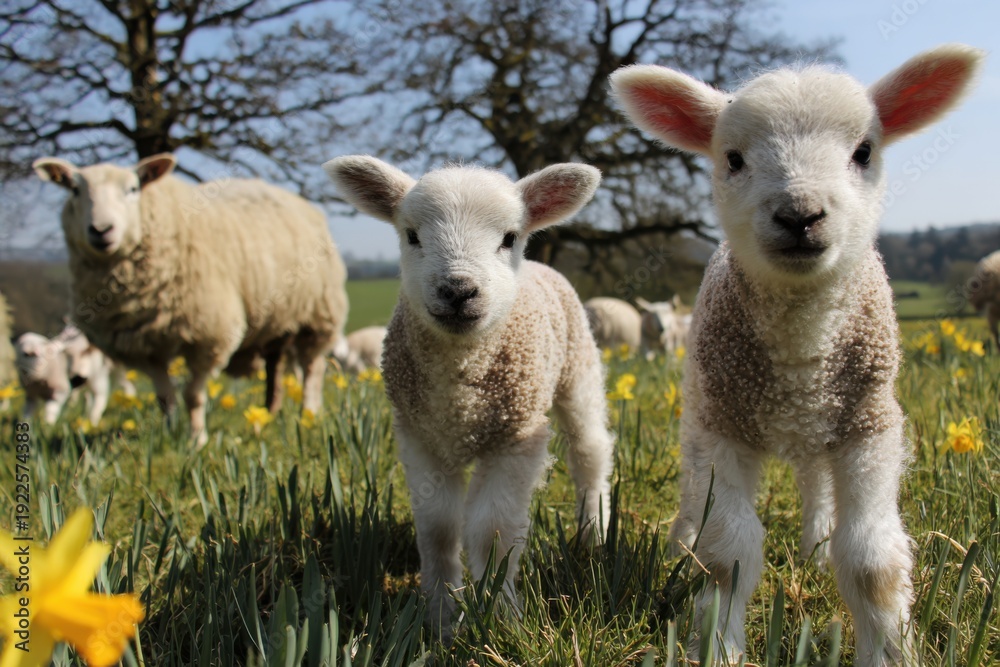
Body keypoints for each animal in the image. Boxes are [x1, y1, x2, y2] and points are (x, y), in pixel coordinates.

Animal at [32, 154, 349, 446]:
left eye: (132, 189)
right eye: (74, 189)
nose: (101, 230)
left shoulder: (209, 333)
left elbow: (193, 394)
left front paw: (197, 439)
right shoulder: (145, 344)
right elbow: (164, 396)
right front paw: (170, 433)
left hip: (317, 315)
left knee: (312, 369)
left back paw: (308, 412)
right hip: (279, 318)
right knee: (275, 365)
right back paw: (270, 411)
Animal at [323, 155, 614, 636]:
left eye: (509, 238)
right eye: (411, 235)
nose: (458, 291)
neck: (461, 389)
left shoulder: (516, 437)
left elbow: (492, 530)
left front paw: (500, 617)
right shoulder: (420, 437)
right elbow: (439, 528)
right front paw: (441, 616)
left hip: (578, 371)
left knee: (590, 454)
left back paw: (594, 533)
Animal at [611, 44, 983, 666]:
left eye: (864, 151)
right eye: (733, 158)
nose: (799, 215)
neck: (800, 351)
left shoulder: (870, 427)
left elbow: (871, 560)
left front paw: (887, 648)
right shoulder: (724, 425)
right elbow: (727, 556)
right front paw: (718, 646)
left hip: (825, 426)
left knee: (815, 485)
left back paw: (816, 546)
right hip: (700, 403)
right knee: (694, 501)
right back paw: (680, 546)